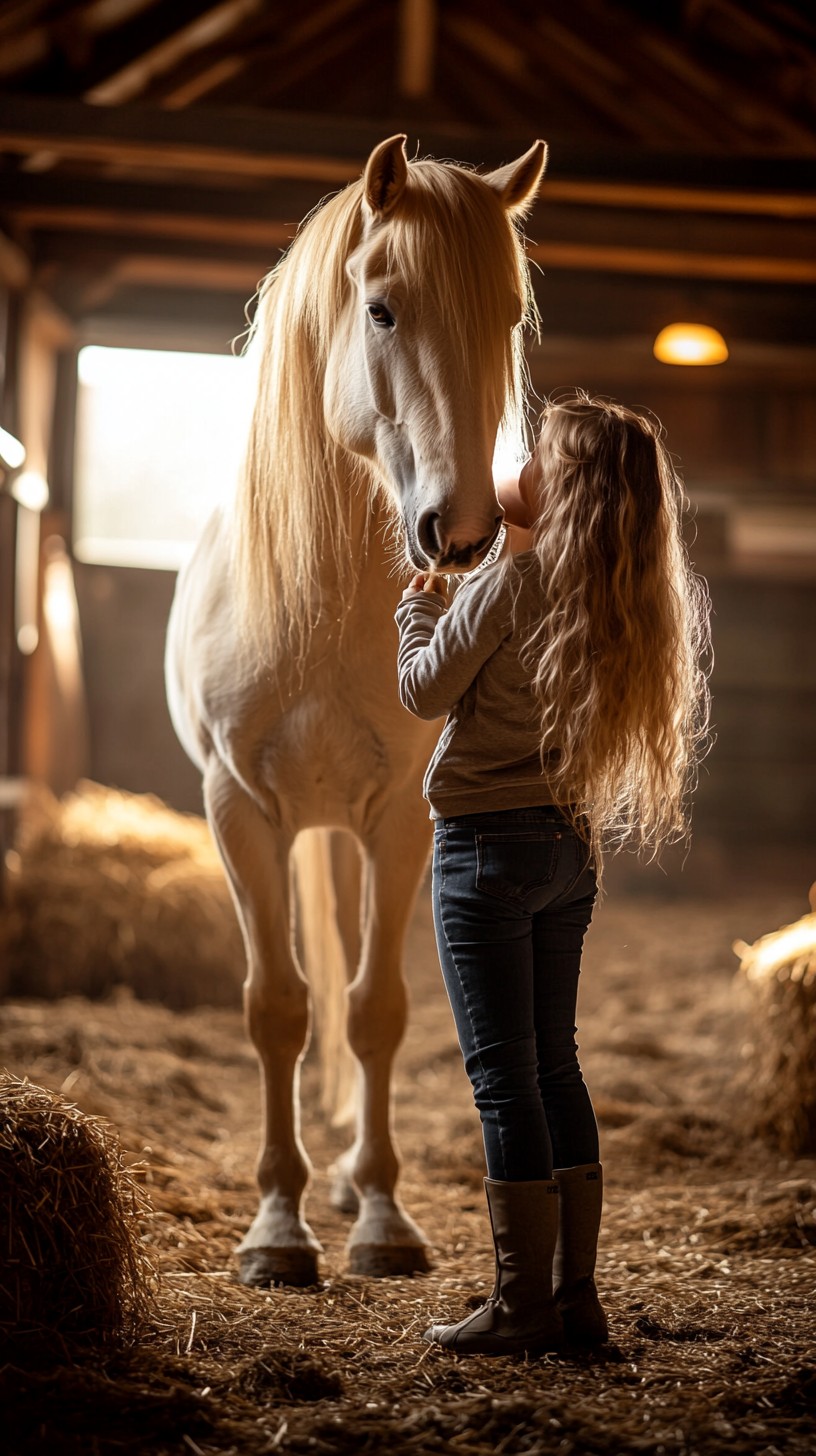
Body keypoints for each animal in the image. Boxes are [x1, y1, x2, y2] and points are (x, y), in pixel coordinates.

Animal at [163, 131, 547, 1281]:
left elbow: (373, 1010)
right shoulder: (240, 812)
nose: (460, 533)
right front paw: (276, 1227)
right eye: (382, 309)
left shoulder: (396, 823)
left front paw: (378, 1212)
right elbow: (277, 1009)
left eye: (507, 317)